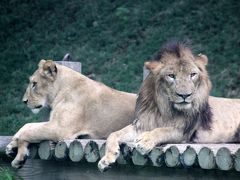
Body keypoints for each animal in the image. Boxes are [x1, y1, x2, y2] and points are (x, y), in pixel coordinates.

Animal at [6, 59, 137, 168]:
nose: (24, 101)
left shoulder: (60, 129)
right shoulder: (54, 123)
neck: (60, 91)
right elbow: (29, 128)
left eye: (34, 84)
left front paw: (17, 152)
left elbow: (27, 129)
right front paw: (13, 148)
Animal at [98, 41, 240, 172]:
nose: (185, 95)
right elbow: (113, 134)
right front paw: (107, 159)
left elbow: (162, 130)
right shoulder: (142, 124)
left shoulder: (184, 132)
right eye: (171, 76)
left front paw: (145, 141)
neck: (164, 108)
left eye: (192, 75)